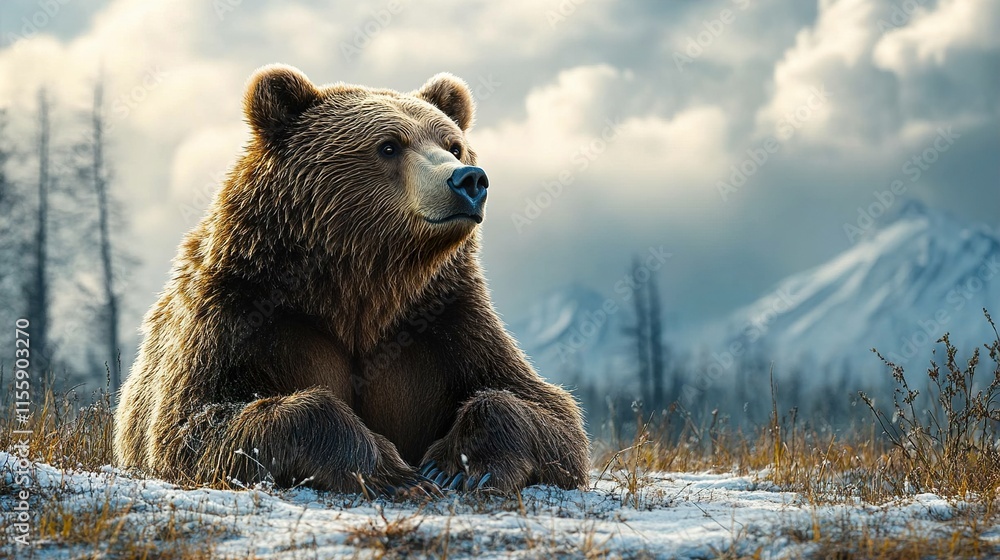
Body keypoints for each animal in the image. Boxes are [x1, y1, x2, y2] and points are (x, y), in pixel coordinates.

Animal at [113, 64, 591, 495]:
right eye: (389, 146)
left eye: (454, 145)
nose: (468, 179)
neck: (359, 287)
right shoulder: (239, 314)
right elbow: (193, 423)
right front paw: (392, 472)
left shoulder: (446, 322)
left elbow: (545, 408)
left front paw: (455, 467)